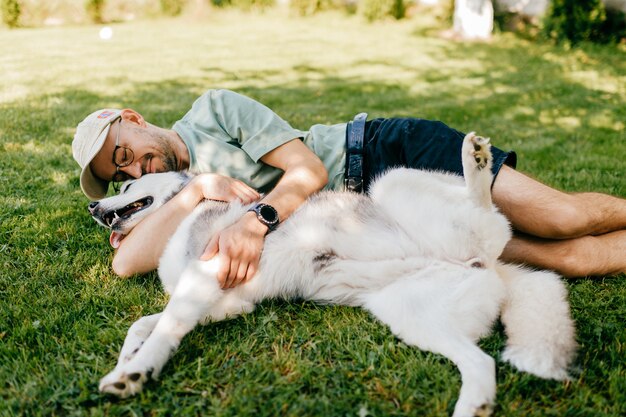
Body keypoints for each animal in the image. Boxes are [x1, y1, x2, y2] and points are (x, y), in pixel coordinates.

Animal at [90, 134, 572, 416]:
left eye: (127, 186)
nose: (93, 206)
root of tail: (487, 263)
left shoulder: (207, 278)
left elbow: (161, 330)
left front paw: (135, 372)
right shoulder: (225, 300)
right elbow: (141, 326)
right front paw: (128, 361)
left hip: (396, 182)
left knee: (485, 208)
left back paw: (475, 162)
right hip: (410, 316)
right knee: (481, 362)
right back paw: (475, 405)